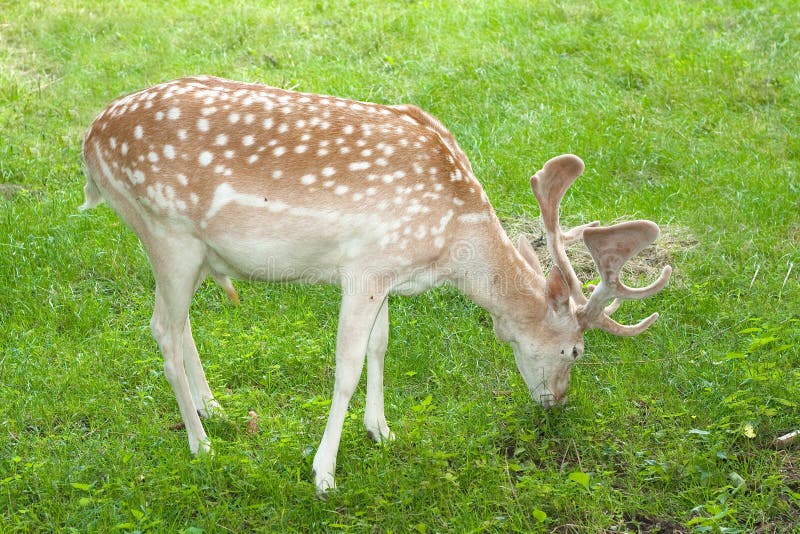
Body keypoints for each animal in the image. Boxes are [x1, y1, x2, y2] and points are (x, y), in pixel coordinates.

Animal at [81, 74, 672, 494]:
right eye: (575, 351)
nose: (557, 403)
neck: (449, 246)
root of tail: (89, 143)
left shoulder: (386, 271)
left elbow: (381, 346)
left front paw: (381, 430)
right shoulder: (361, 267)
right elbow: (344, 368)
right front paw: (323, 472)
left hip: (192, 250)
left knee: (177, 325)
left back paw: (213, 408)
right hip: (167, 231)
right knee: (161, 329)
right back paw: (201, 444)